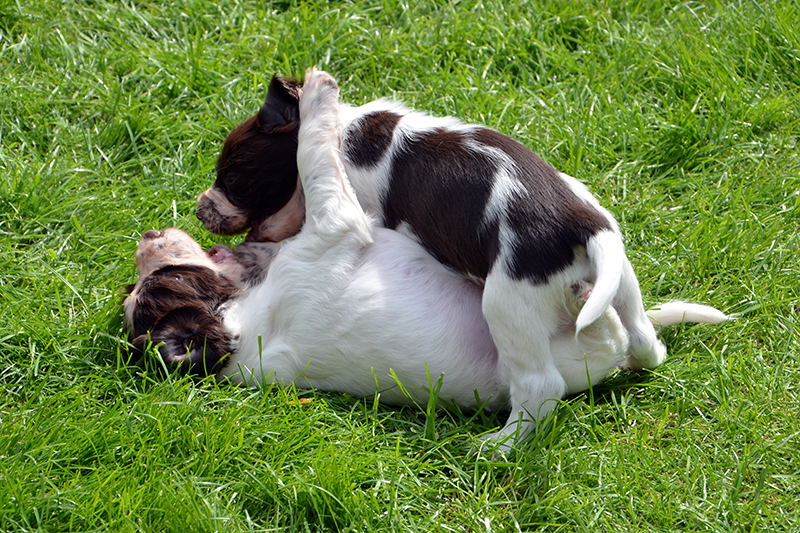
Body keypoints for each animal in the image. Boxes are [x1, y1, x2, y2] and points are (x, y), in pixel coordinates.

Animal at [123, 70, 724, 442]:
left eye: (233, 178)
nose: (199, 209)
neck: (348, 129)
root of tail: (582, 226)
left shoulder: (347, 205)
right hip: (618, 278)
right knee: (643, 339)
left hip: (506, 302)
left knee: (541, 388)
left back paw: (497, 447)